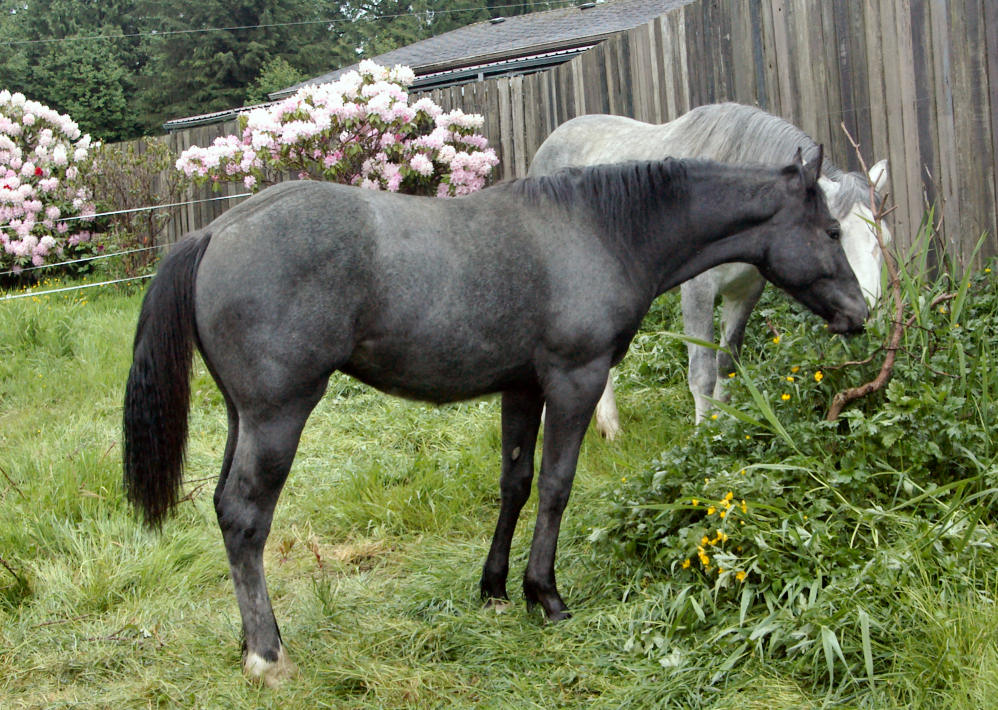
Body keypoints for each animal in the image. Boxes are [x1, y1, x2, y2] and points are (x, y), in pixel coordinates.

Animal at [122, 152, 867, 686]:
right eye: (831, 230)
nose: (859, 313)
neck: (600, 230)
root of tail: (216, 230)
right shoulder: (575, 379)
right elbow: (557, 486)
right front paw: (547, 596)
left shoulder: (522, 387)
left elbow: (515, 483)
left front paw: (496, 589)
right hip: (278, 416)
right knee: (245, 516)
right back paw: (268, 655)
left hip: (244, 418)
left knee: (226, 511)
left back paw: (249, 638)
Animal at [529, 103, 890, 433]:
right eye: (835, 234)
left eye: (882, 239)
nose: (867, 312)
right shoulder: (698, 291)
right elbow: (702, 373)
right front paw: (701, 437)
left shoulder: (744, 292)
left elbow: (726, 366)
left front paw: (722, 429)